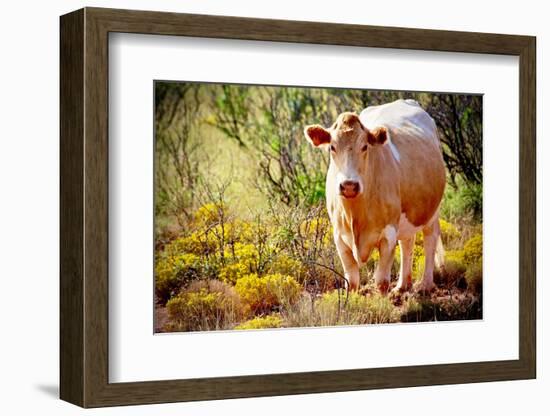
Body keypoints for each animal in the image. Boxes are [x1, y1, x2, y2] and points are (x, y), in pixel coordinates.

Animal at [306, 99, 448, 294]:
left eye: (365, 146)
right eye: (332, 147)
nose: (349, 185)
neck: (356, 215)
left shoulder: (389, 233)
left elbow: (381, 281)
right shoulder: (339, 236)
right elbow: (352, 281)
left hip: (432, 210)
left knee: (430, 238)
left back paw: (425, 285)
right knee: (407, 242)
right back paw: (402, 285)